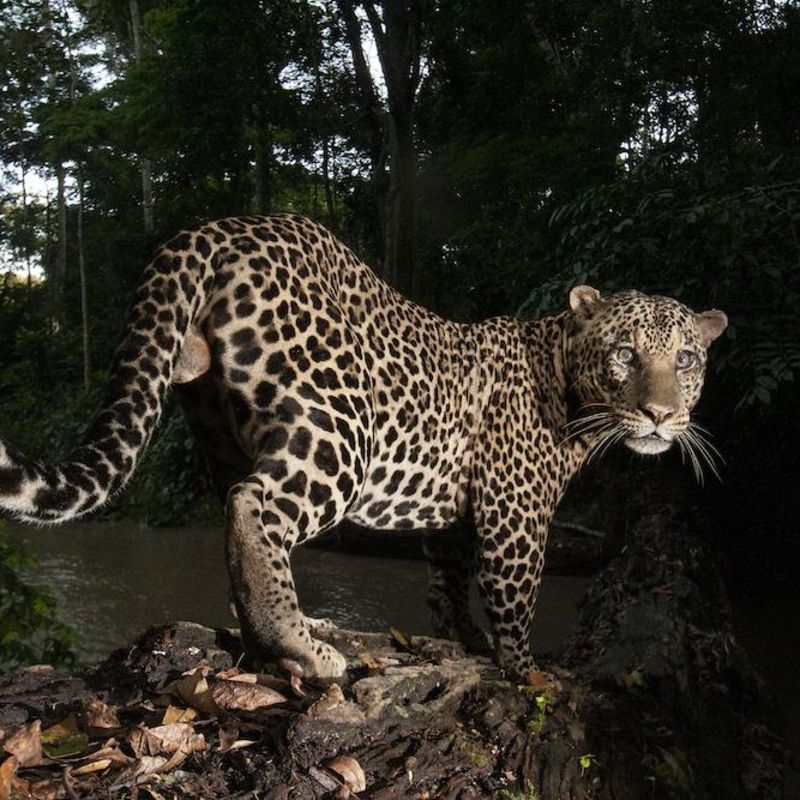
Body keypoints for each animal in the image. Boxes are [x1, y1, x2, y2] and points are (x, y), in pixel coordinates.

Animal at [0, 214, 727, 680]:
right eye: (625, 354)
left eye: (687, 359)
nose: (661, 414)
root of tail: (213, 229)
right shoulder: (515, 511)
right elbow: (515, 597)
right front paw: (529, 672)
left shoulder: (458, 517)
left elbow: (447, 581)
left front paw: (463, 641)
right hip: (340, 426)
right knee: (253, 505)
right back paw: (304, 647)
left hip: (215, 419)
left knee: (234, 510)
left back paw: (276, 639)